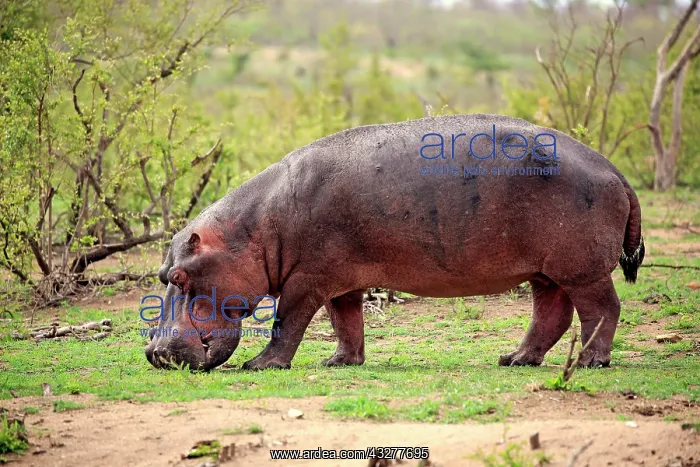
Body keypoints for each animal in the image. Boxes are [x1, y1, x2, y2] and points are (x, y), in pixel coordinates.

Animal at [145, 113, 644, 371]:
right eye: (162, 274)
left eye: (181, 276)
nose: (154, 353)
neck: (253, 230)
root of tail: (613, 168)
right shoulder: (340, 280)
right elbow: (345, 321)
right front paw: (340, 362)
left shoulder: (307, 279)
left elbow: (289, 321)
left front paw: (261, 365)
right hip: (546, 270)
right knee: (551, 315)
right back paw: (514, 359)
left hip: (581, 267)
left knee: (603, 309)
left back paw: (590, 363)